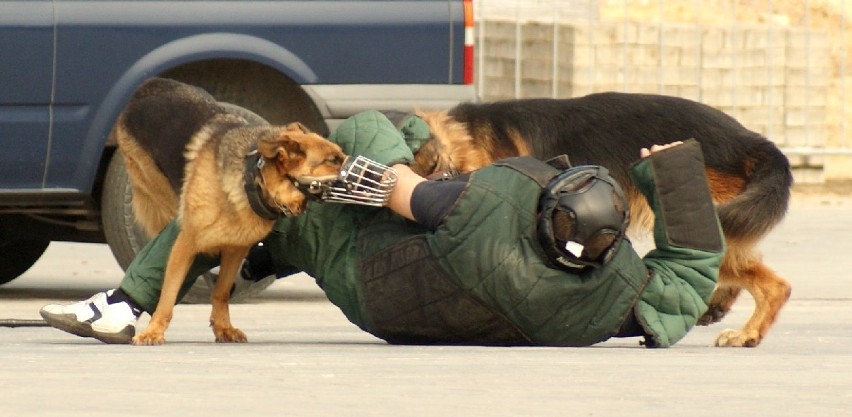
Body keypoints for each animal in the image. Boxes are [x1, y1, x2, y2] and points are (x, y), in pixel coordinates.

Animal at [120, 79, 346, 344]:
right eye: (333, 160)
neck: (252, 180)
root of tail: (151, 82)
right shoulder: (185, 244)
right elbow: (168, 296)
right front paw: (154, 331)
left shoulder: (236, 249)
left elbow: (221, 292)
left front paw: (222, 327)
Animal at [416, 92, 796, 346]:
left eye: (434, 166)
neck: (465, 141)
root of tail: (749, 141)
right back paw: (721, 307)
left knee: (776, 285)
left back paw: (748, 333)